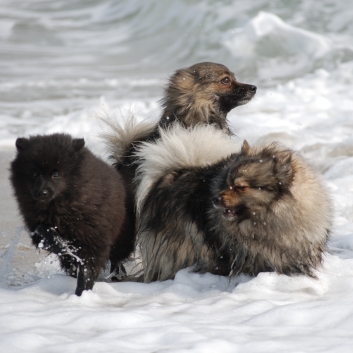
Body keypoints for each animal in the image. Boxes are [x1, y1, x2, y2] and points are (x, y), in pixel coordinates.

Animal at [9, 133, 134, 292]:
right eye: (34, 173)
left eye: (56, 174)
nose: (42, 193)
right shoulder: (34, 223)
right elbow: (45, 233)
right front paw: (63, 246)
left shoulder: (94, 236)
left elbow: (88, 266)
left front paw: (83, 290)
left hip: (121, 238)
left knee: (117, 258)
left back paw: (117, 275)